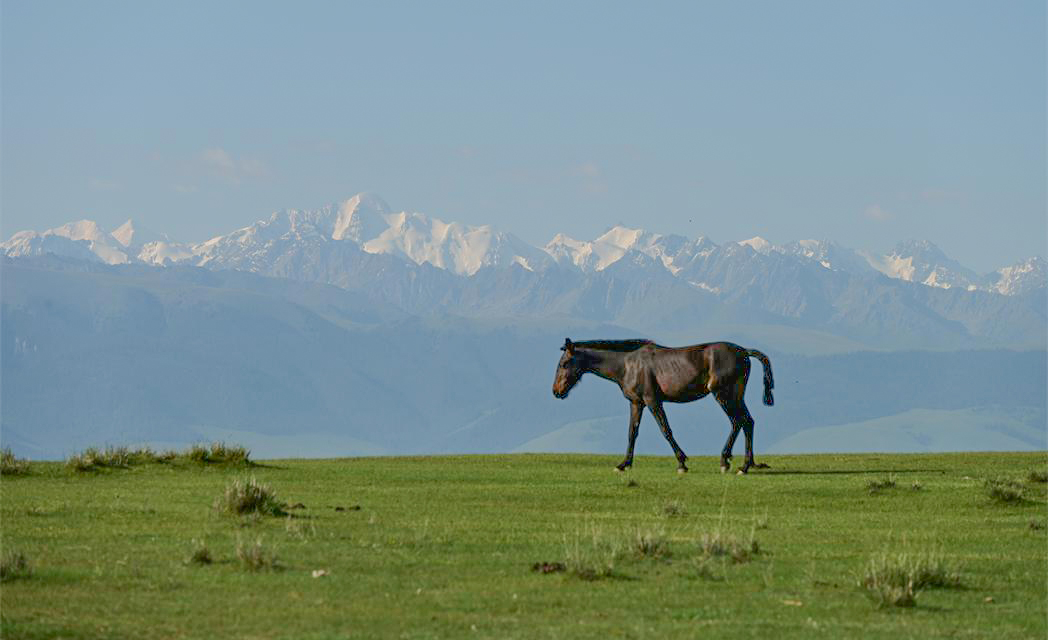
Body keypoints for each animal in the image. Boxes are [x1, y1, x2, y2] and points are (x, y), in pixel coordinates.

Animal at [553, 337, 775, 473]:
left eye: (564, 364)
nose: (556, 391)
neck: (627, 364)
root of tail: (744, 352)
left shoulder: (652, 400)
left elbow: (665, 430)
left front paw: (682, 463)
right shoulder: (636, 403)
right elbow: (632, 433)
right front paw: (624, 464)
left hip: (723, 395)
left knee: (739, 421)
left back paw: (734, 463)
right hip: (735, 396)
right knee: (747, 422)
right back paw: (744, 464)